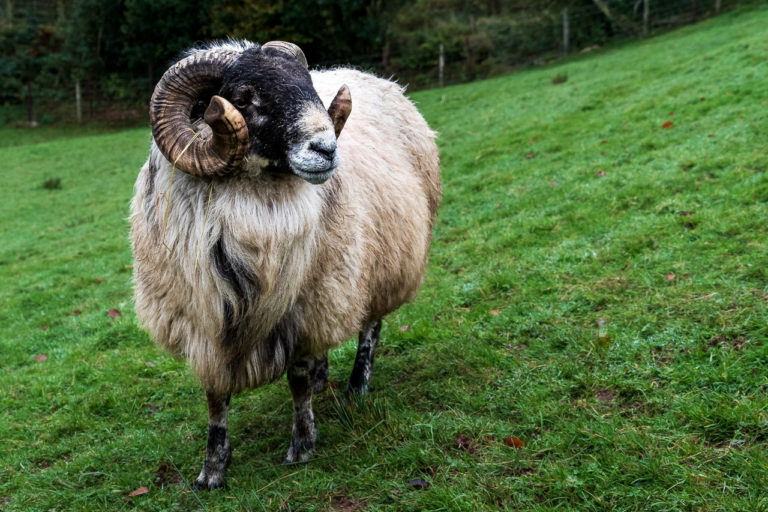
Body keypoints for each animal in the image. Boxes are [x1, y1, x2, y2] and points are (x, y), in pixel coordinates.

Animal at [130, 40, 441, 490]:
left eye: (308, 85)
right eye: (242, 98)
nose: (326, 150)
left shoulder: (306, 307)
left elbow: (296, 380)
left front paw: (302, 445)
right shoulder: (204, 324)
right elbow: (215, 398)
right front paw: (212, 470)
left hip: (380, 262)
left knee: (371, 325)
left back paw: (356, 388)